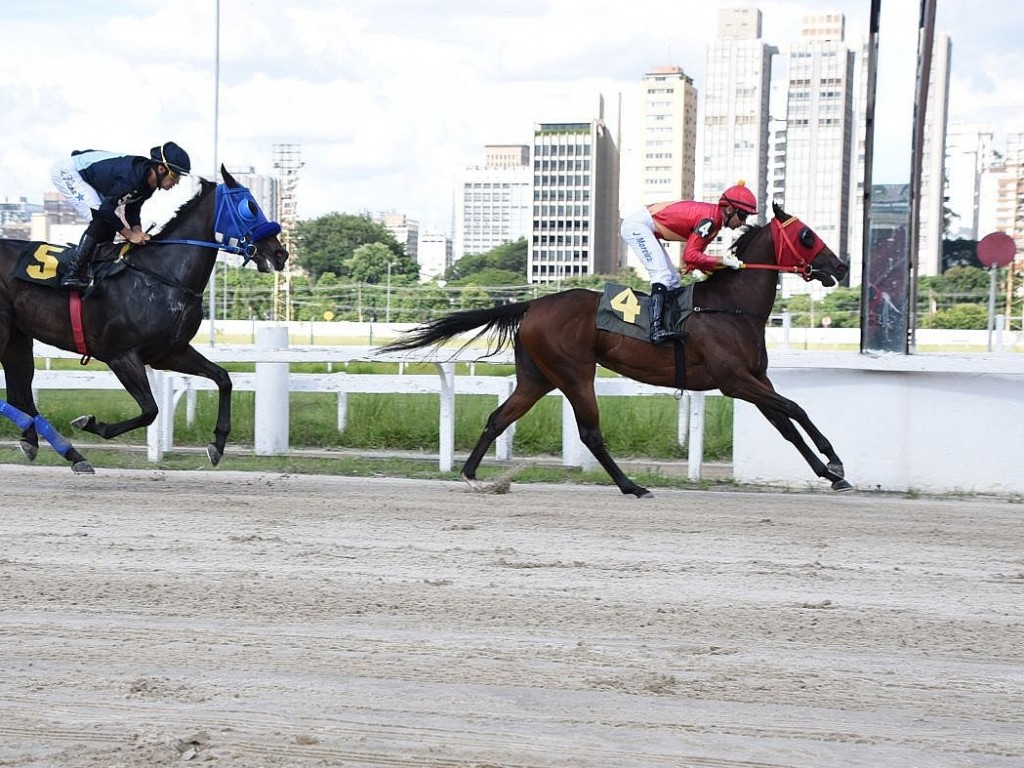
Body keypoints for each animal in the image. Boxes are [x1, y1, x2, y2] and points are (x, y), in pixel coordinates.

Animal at [1, 165, 288, 473]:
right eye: (249, 207)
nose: (280, 253)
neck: (162, 275)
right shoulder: (122, 356)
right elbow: (151, 410)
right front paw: (90, 423)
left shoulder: (169, 353)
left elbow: (223, 379)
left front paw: (217, 444)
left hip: (17, 338)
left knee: (21, 395)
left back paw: (62, 451)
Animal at [382, 201, 847, 499]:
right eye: (808, 235)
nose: (841, 267)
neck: (730, 306)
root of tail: (534, 304)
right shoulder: (735, 381)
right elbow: (797, 409)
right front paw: (836, 463)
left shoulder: (755, 378)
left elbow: (788, 424)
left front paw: (828, 472)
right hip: (574, 373)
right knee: (590, 433)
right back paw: (631, 486)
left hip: (537, 377)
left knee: (499, 417)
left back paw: (472, 475)